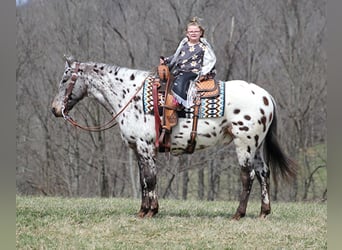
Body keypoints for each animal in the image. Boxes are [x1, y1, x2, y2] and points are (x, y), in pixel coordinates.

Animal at [50, 55, 296, 220]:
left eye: (64, 80)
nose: (54, 109)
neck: (130, 95)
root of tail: (266, 97)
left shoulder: (145, 146)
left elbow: (150, 179)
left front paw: (151, 211)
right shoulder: (138, 149)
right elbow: (143, 179)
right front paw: (142, 210)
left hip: (244, 144)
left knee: (248, 176)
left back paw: (239, 214)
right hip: (256, 146)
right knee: (263, 173)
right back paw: (264, 212)